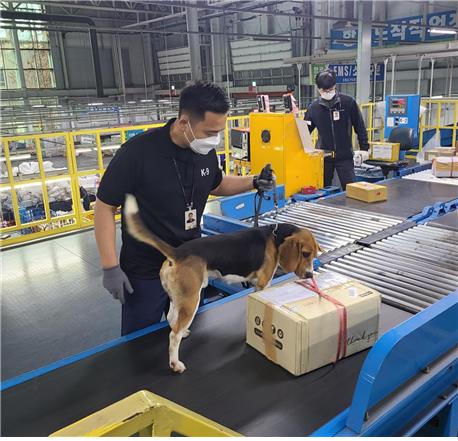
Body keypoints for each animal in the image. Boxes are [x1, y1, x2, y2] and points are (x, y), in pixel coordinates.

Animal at [123, 194, 320, 372]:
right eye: (305, 253)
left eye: (313, 255)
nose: (310, 274)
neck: (276, 236)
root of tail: (178, 252)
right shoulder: (263, 284)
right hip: (191, 300)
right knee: (173, 336)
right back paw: (175, 364)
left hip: (178, 298)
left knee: (172, 319)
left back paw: (182, 333)